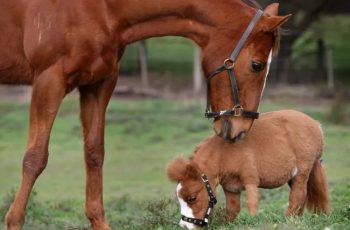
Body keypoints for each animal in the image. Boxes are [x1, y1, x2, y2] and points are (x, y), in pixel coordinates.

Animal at [0, 0, 290, 229]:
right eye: (257, 65)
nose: (241, 130)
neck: (101, 7)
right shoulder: (49, 81)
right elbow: (36, 157)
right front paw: (14, 220)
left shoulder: (98, 84)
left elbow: (94, 153)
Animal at [166, 110, 328, 229]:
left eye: (192, 198)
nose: (184, 226)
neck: (225, 153)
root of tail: (316, 124)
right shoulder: (231, 188)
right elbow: (232, 210)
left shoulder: (251, 182)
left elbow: (252, 206)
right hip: (292, 178)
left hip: (302, 173)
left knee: (297, 197)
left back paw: (288, 220)